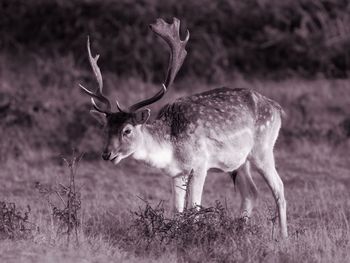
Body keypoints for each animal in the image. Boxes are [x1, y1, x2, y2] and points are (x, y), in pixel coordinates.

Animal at [79, 17, 288, 238]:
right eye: (105, 129)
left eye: (127, 130)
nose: (107, 154)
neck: (171, 147)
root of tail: (277, 108)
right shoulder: (177, 173)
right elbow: (177, 211)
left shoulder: (200, 165)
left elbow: (194, 209)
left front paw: (193, 235)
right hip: (240, 161)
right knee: (251, 192)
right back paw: (240, 230)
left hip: (263, 149)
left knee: (279, 188)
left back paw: (283, 237)